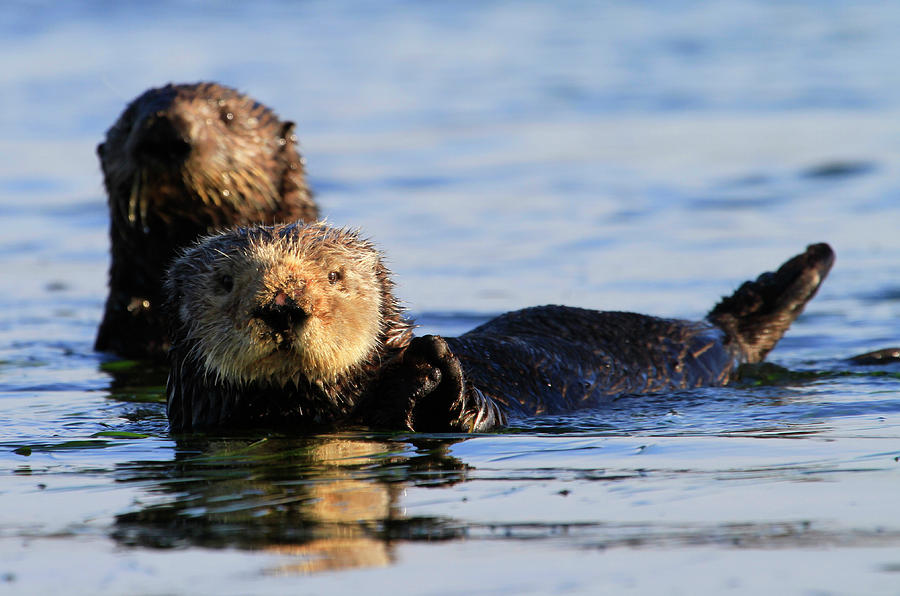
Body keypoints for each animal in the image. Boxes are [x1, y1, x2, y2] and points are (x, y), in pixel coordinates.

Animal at [163, 222, 836, 434]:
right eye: (224, 282)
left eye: (333, 275)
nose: (282, 307)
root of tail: (716, 333)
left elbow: (480, 413)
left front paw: (431, 362)